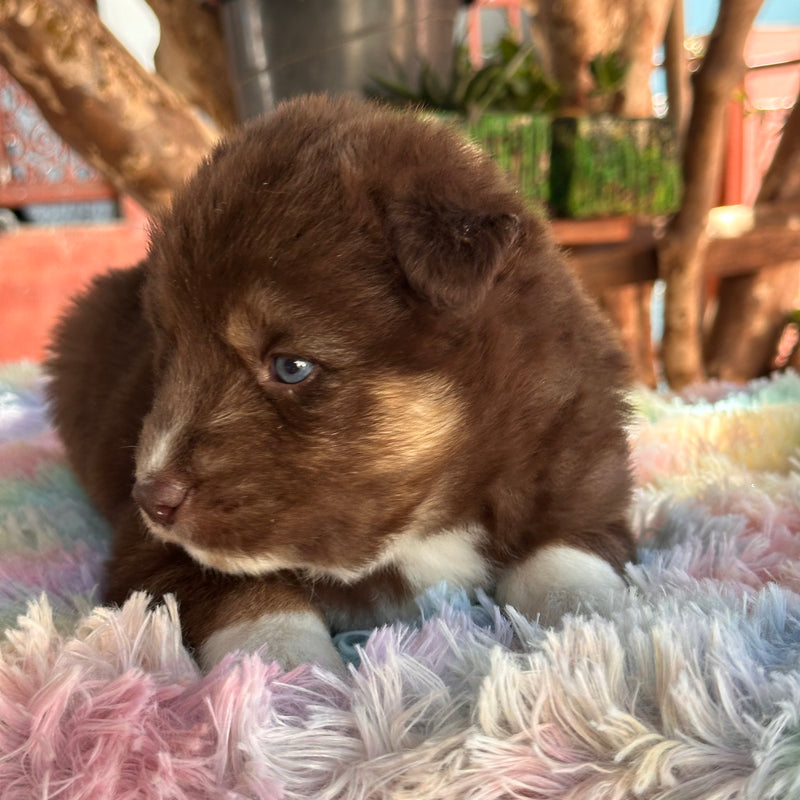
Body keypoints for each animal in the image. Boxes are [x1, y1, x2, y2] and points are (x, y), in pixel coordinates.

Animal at [48, 95, 636, 676]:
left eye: (290, 367)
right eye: (167, 354)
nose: (150, 499)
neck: (428, 516)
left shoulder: (579, 473)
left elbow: (564, 563)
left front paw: (598, 629)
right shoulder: (146, 552)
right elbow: (247, 594)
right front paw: (290, 669)